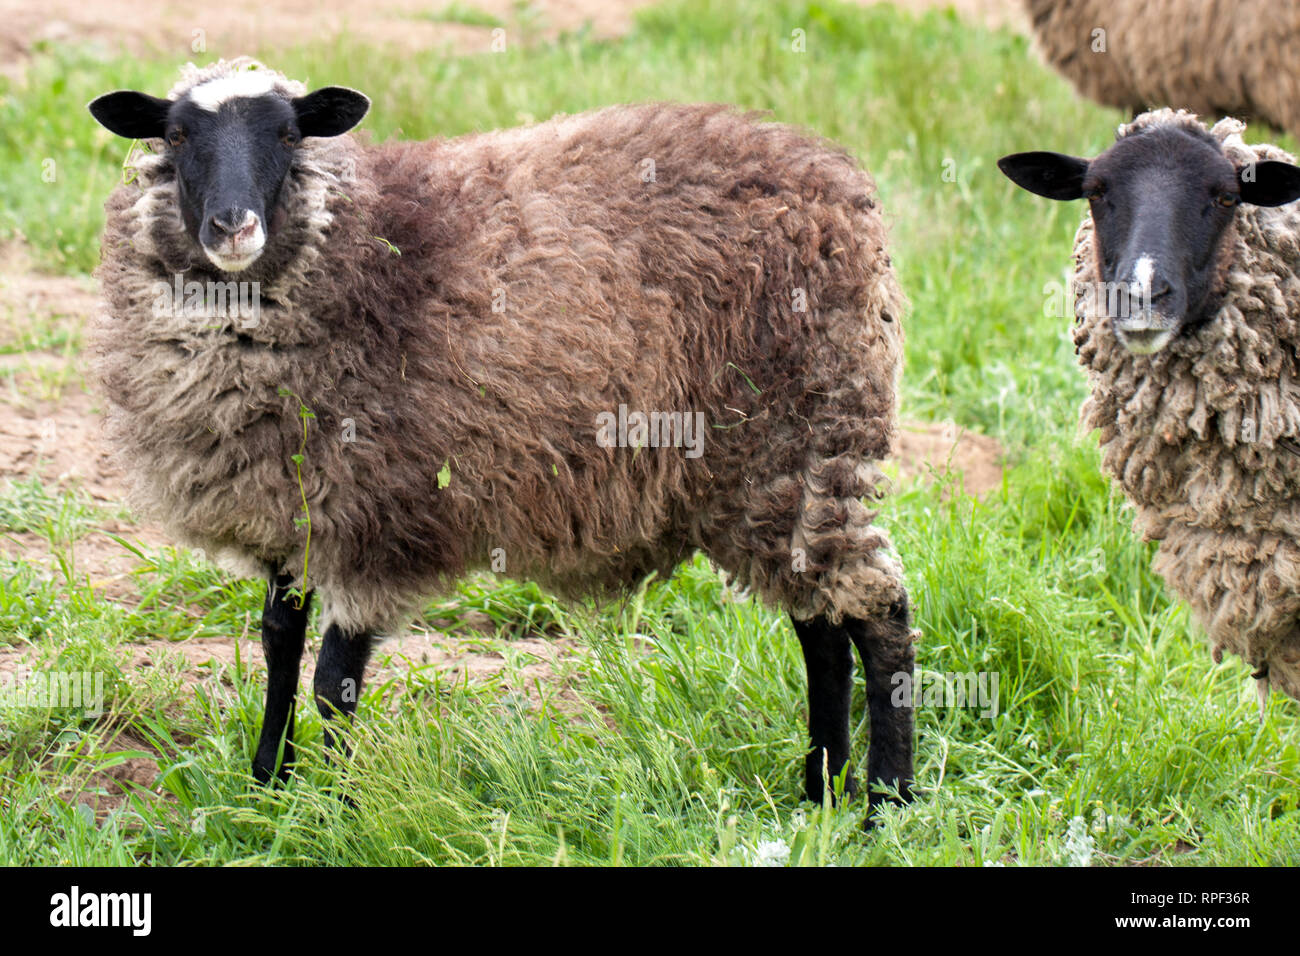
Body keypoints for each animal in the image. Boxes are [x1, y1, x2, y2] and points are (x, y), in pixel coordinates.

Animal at [87, 58, 917, 814]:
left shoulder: (379, 517)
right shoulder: (293, 510)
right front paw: (267, 786)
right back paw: (821, 791)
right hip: (774, 476)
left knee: (877, 613)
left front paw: (336, 814)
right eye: (177, 134)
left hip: (806, 436)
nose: (234, 228)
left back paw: (886, 800)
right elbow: (277, 646)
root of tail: (833, 175)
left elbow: (332, 682)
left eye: (290, 134)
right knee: (821, 626)